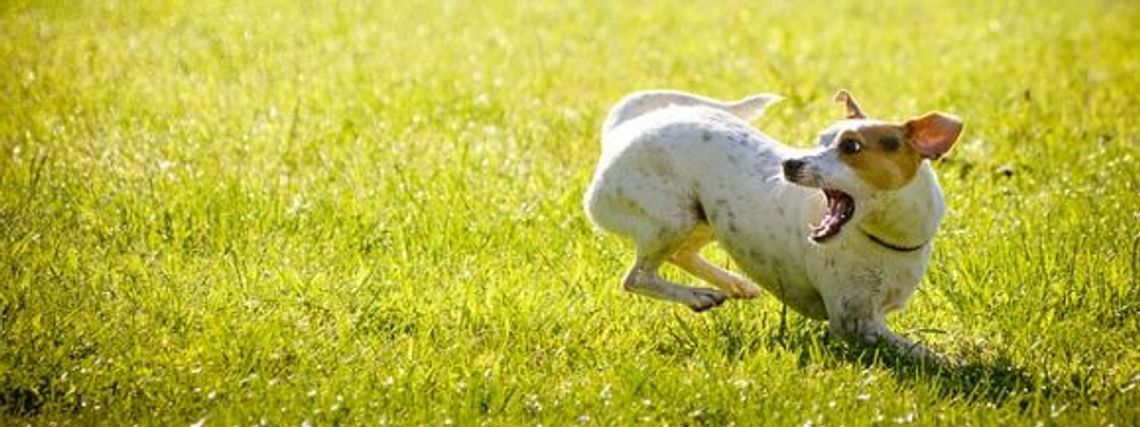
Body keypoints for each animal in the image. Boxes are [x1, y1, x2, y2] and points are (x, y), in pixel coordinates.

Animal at [583, 88, 966, 359]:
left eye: (852, 147)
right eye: (819, 140)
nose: (790, 164)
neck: (885, 238)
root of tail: (623, 129)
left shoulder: (874, 315)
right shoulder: (855, 324)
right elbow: (920, 351)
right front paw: (956, 364)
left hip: (704, 218)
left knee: (681, 254)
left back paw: (735, 284)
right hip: (672, 217)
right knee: (637, 277)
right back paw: (698, 296)